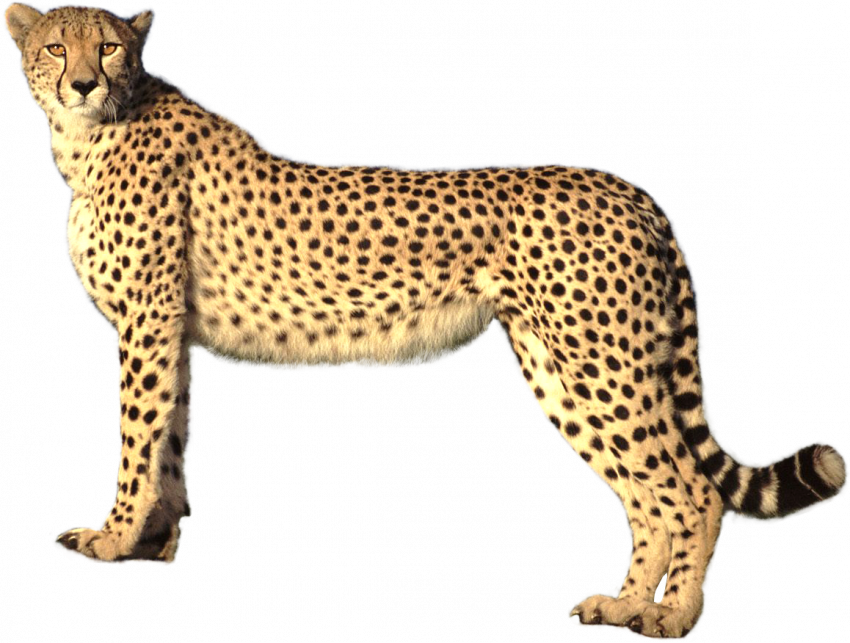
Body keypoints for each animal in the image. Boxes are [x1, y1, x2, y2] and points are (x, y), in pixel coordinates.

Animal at [4, 2, 848, 639]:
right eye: (56, 45)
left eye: (108, 46)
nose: (82, 83)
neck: (95, 131)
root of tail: (634, 189)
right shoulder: (170, 328)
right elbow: (169, 442)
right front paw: (153, 545)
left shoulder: (147, 321)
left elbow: (136, 440)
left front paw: (112, 537)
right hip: (561, 368)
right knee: (649, 495)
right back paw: (626, 603)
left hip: (600, 363)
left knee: (691, 491)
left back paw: (673, 617)